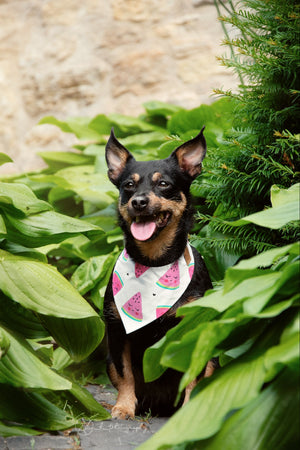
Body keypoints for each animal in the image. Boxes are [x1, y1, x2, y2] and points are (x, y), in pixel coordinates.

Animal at [103, 128, 213, 420]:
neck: (153, 262)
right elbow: (126, 375)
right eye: (128, 185)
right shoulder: (117, 330)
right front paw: (124, 406)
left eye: (163, 184)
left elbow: (192, 377)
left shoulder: (193, 330)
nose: (138, 201)